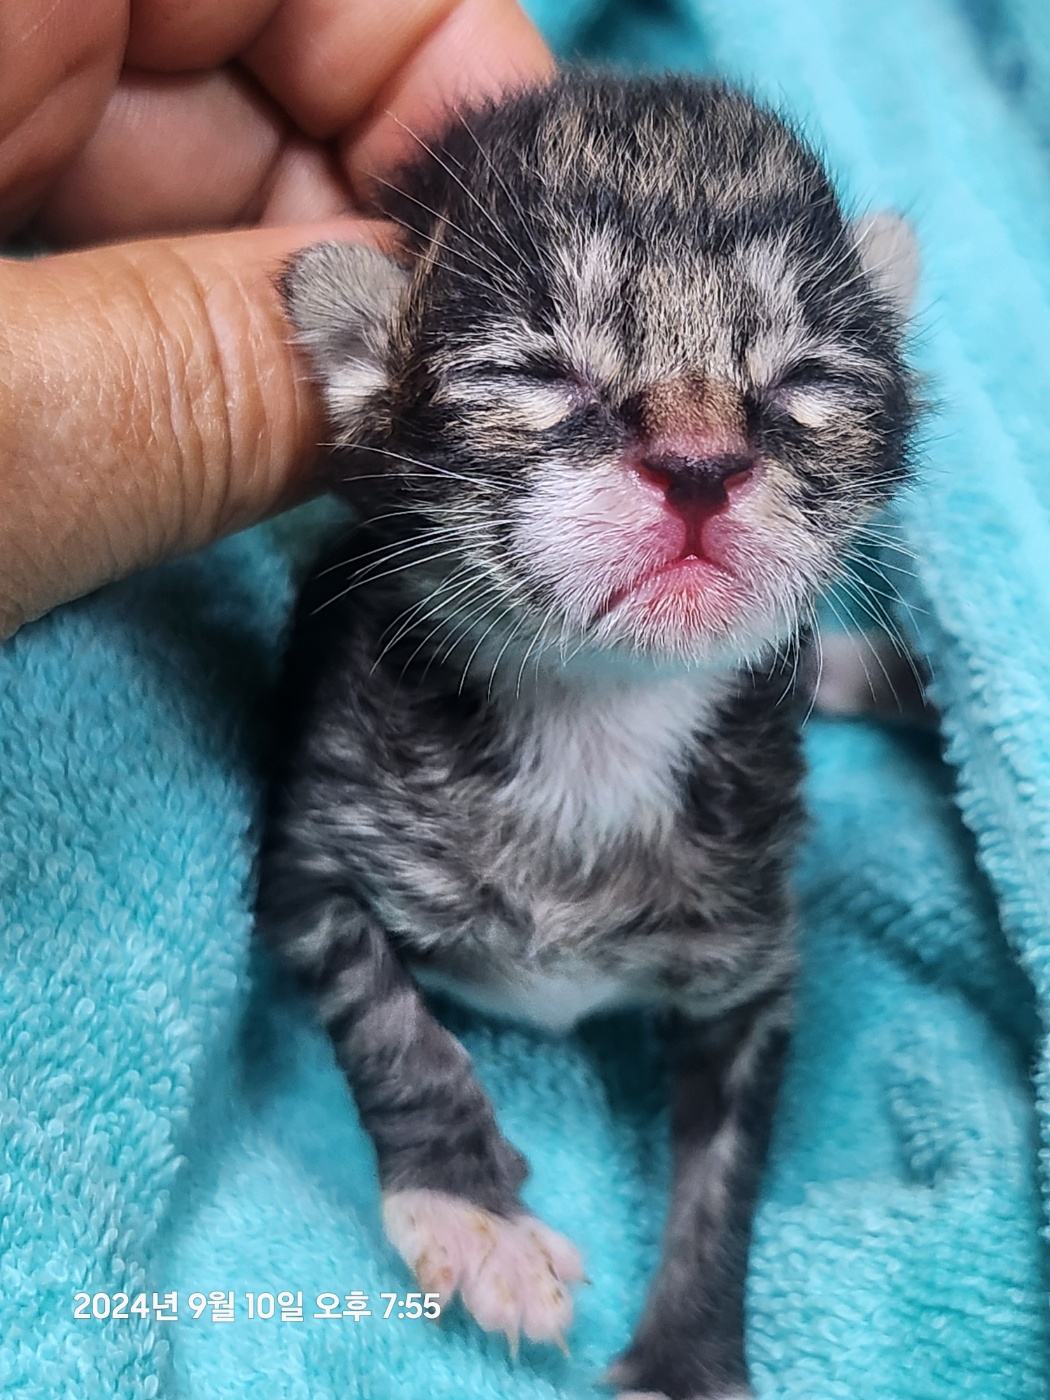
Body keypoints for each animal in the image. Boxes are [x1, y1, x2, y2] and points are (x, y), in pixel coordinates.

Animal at [259, 71, 918, 1394]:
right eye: (541, 369)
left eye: (806, 377)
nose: (701, 464)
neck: (601, 713)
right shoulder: (314, 842)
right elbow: (383, 1014)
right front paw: (472, 1212)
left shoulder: (751, 956)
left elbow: (726, 1170)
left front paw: (683, 1353)